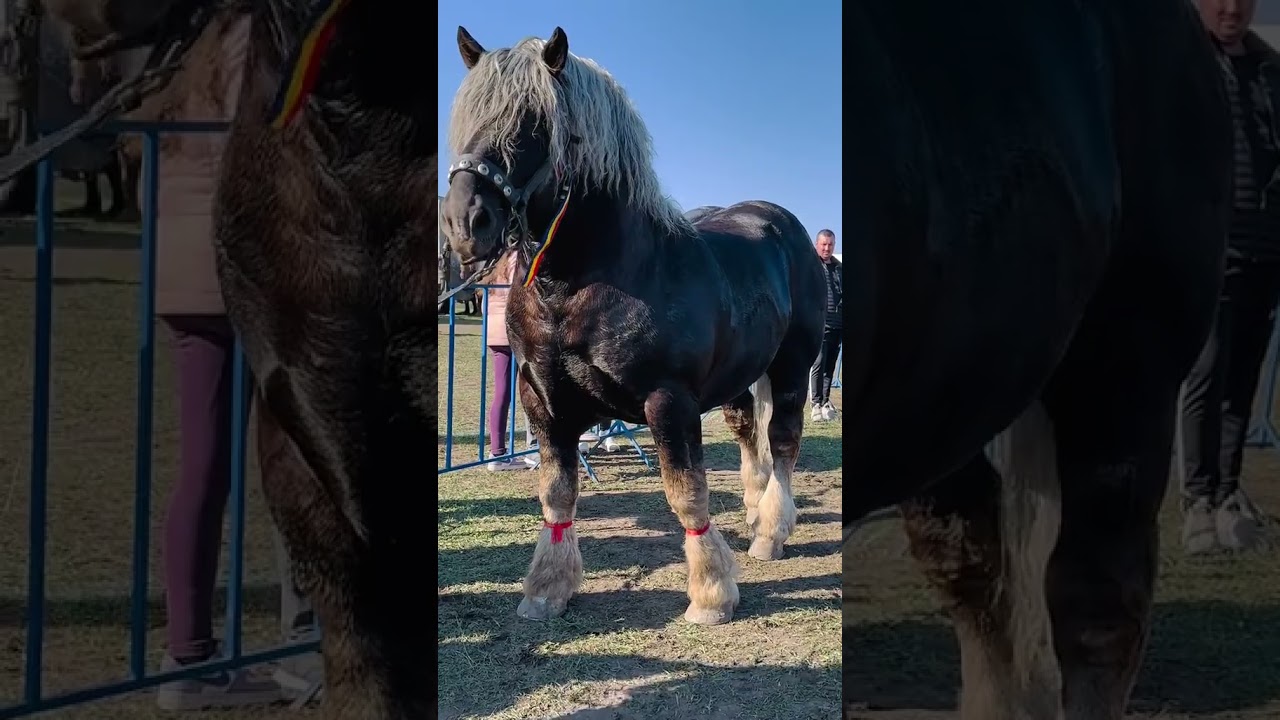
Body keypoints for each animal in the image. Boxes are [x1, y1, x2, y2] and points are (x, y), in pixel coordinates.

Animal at [440, 27, 828, 626]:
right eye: (467, 113)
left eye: (533, 121)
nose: (464, 222)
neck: (579, 285)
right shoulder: (541, 400)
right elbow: (557, 493)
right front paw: (547, 588)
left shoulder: (669, 401)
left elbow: (687, 493)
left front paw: (711, 594)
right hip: (740, 378)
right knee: (748, 434)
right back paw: (753, 513)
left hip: (792, 366)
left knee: (783, 441)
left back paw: (770, 532)